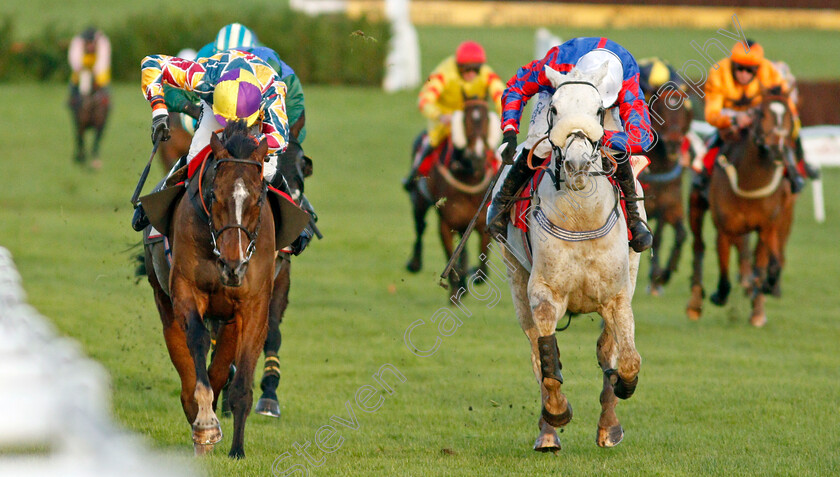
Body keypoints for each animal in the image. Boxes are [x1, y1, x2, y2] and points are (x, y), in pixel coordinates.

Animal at [144, 121, 274, 456]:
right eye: (214, 195)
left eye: (258, 199)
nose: (233, 265)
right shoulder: (185, 290)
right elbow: (198, 342)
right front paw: (204, 425)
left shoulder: (253, 304)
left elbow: (240, 377)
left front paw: (237, 450)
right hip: (163, 299)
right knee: (184, 358)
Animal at [406, 97, 498, 298]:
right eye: (465, 120)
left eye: (487, 120)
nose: (477, 156)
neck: (469, 177)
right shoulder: (446, 224)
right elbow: (451, 257)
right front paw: (456, 291)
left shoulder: (480, 221)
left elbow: (482, 268)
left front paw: (472, 275)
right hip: (419, 199)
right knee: (420, 226)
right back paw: (414, 263)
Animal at [502, 63, 640, 450]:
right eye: (554, 109)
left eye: (598, 111)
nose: (577, 164)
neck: (581, 219)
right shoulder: (543, 292)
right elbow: (548, 361)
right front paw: (556, 413)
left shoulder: (617, 295)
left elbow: (627, 360)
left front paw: (621, 389)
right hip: (516, 278)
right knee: (537, 353)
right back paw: (547, 433)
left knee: (607, 350)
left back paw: (609, 425)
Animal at [684, 91, 796, 326]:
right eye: (761, 113)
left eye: (790, 116)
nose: (777, 150)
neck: (749, 180)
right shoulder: (725, 228)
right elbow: (725, 273)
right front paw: (719, 294)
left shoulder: (767, 226)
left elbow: (768, 265)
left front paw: (761, 299)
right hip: (696, 205)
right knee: (698, 246)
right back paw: (695, 303)